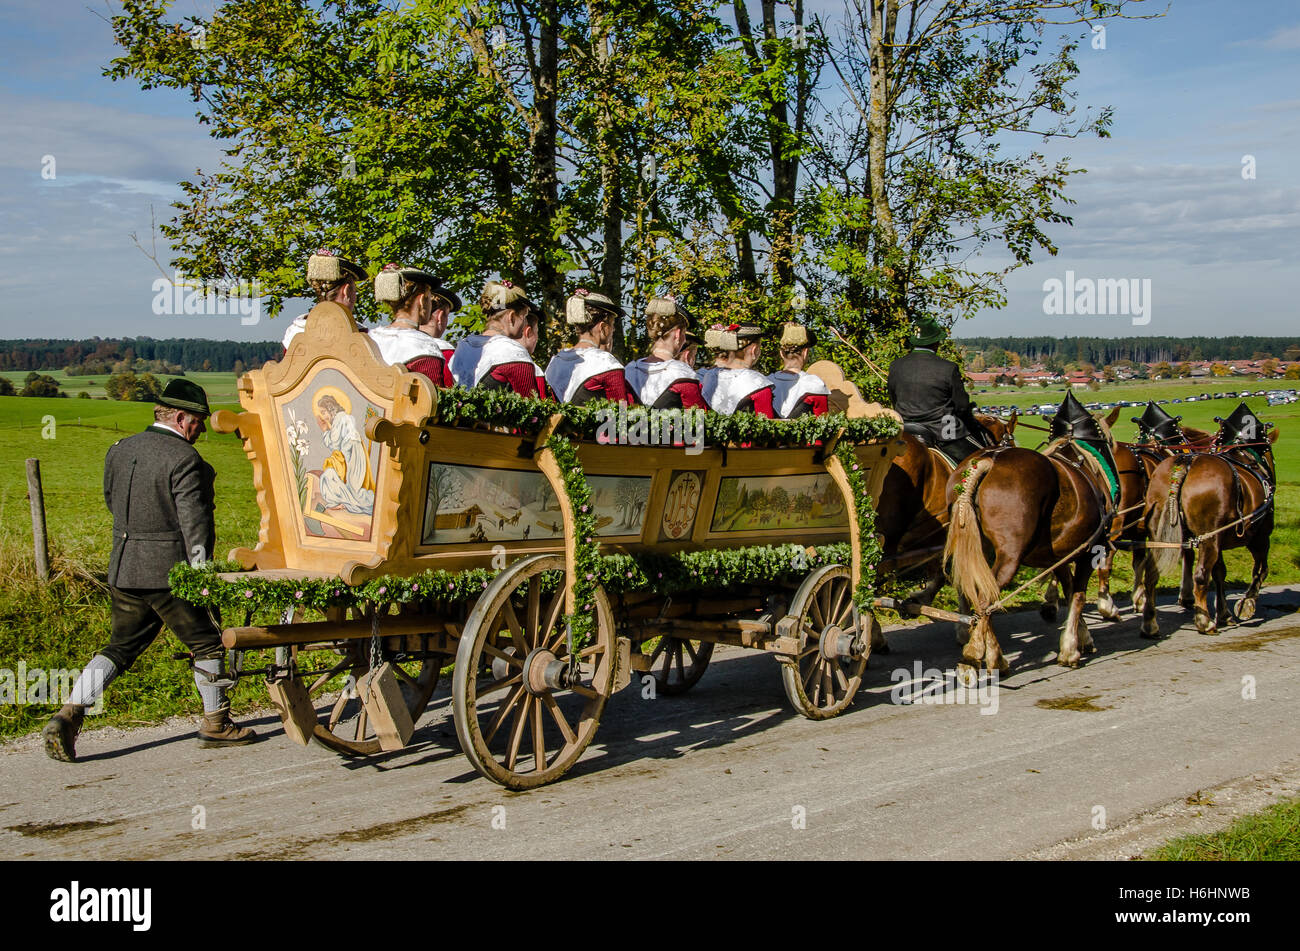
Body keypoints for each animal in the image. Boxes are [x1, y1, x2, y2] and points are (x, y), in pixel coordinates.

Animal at [1138, 418, 1279, 634]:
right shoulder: (1260, 536)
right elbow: (1260, 570)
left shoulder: (1218, 540)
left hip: (1162, 534)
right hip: (1210, 537)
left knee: (1152, 574)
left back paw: (1149, 622)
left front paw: (1224, 613)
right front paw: (1246, 603)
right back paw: (1204, 621)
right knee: (1201, 575)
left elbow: (1220, 573)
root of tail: (1184, 465)